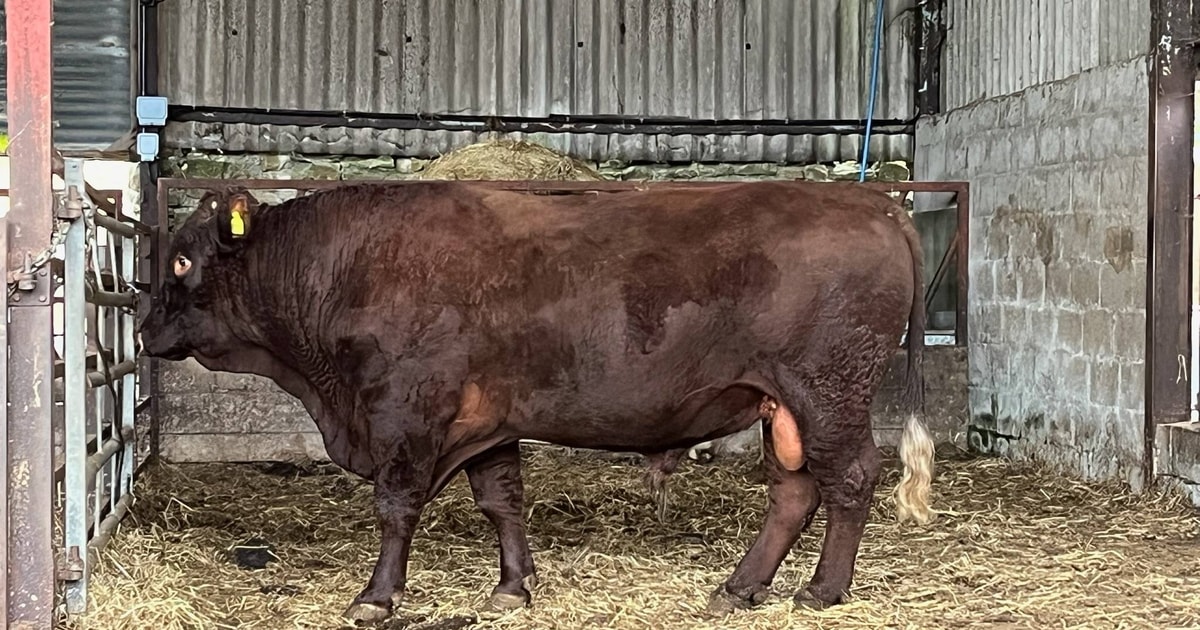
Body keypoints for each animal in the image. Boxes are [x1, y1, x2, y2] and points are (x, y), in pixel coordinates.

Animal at [137, 180, 936, 622]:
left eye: (181, 259)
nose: (143, 330)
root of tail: (874, 203)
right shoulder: (488, 421)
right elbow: (501, 501)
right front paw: (512, 588)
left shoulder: (404, 410)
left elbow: (396, 507)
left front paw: (376, 596)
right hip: (784, 406)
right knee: (793, 492)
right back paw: (739, 588)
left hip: (828, 388)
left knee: (850, 478)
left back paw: (823, 590)